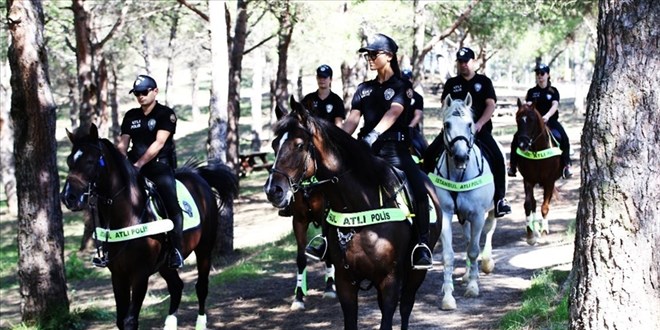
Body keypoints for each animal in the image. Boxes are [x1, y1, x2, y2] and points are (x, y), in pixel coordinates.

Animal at [60, 124, 238, 330]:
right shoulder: (118, 275)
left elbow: (130, 320)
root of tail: (198, 177)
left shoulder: (140, 275)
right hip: (165, 265)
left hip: (204, 249)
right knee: (176, 286)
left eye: (90, 161)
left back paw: (200, 324)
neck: (129, 212)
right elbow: (120, 320)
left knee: (201, 287)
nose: (69, 197)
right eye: (69, 161)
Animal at [262, 96, 438, 328]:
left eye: (299, 145)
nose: (273, 190)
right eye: (275, 145)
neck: (359, 206)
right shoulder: (345, 281)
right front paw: (299, 298)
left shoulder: (390, 280)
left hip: (415, 274)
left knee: (407, 305)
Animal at [430, 94, 498, 310]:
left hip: (492, 211)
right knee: (468, 240)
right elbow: (449, 255)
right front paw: (448, 297)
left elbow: (474, 251)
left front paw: (473, 288)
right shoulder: (446, 214)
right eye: (447, 124)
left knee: (488, 231)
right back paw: (468, 275)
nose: (461, 157)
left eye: (470, 124)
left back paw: (486, 263)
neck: (460, 176)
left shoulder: (477, 215)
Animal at [512, 100, 560, 245]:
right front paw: (530, 235)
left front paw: (544, 232)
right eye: (517, 119)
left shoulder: (549, 181)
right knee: (533, 203)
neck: (537, 151)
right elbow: (528, 205)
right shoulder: (528, 180)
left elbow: (545, 206)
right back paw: (535, 230)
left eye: (531, 120)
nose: (522, 144)